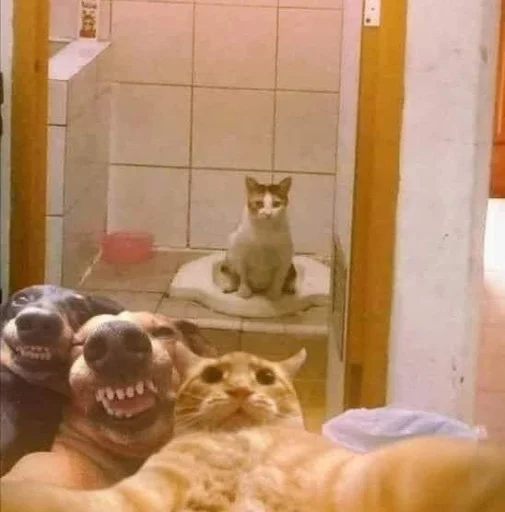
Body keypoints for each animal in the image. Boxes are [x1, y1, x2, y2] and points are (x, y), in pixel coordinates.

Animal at [1, 344, 505, 512]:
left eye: (264, 377)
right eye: (212, 375)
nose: (242, 390)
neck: (242, 445)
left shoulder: (365, 480)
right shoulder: (133, 497)